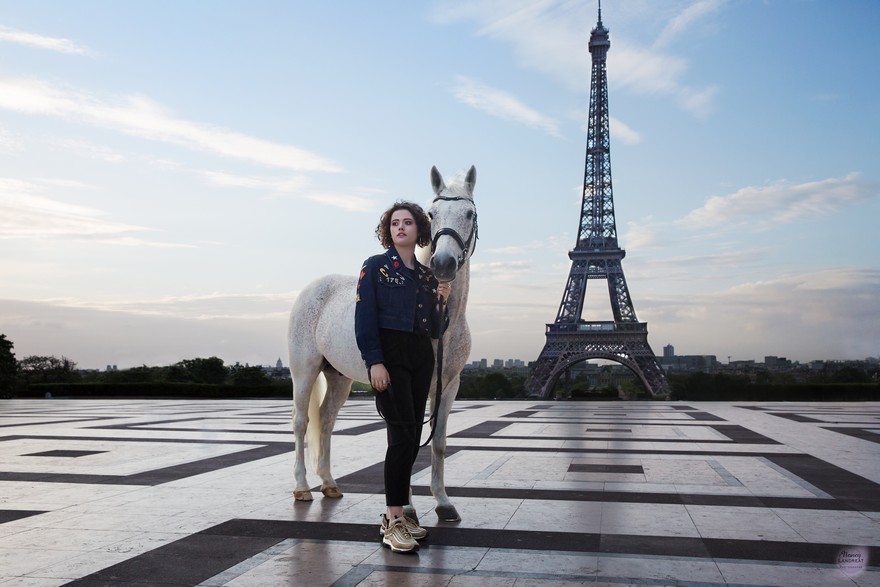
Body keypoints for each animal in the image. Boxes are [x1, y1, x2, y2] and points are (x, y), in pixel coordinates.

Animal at [288, 165, 474, 524]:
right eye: (432, 213)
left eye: (469, 214)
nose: (443, 264)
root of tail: (311, 289)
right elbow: (407, 439)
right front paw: (408, 507)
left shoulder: (449, 384)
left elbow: (438, 442)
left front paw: (443, 502)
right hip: (304, 370)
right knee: (302, 422)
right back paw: (302, 487)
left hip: (339, 377)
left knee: (326, 419)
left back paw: (329, 483)